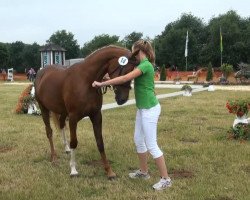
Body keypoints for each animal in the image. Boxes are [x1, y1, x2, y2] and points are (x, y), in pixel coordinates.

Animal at [34, 45, 138, 178]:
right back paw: (54, 157)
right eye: (125, 71)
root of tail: (42, 72)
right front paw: (73, 169)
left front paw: (109, 171)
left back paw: (66, 149)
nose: (122, 99)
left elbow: (100, 142)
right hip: (44, 109)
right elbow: (74, 142)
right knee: (49, 132)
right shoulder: (73, 118)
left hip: (63, 111)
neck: (86, 80)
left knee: (61, 125)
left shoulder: (96, 115)